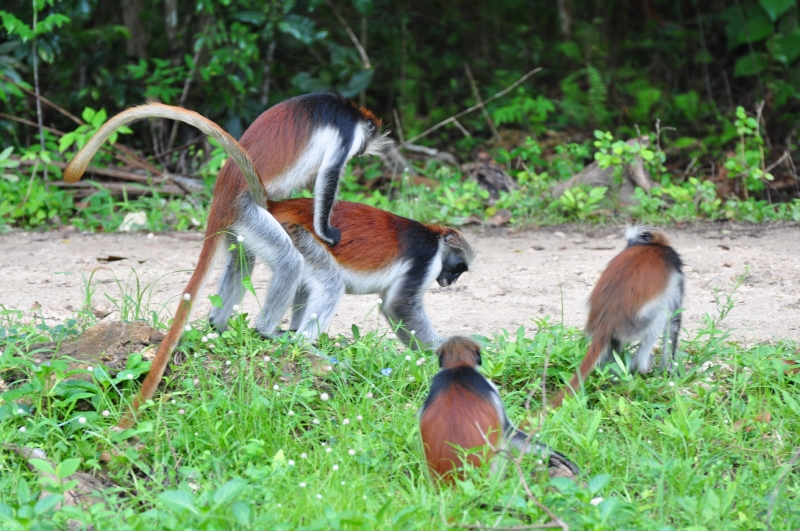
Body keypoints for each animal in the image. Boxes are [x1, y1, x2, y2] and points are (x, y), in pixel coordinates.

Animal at [62, 98, 389, 427]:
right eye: (363, 143)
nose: (365, 151)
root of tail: (223, 190)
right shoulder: (345, 134)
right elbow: (327, 178)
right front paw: (327, 233)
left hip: (240, 222)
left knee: (244, 260)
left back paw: (217, 327)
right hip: (246, 209)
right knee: (287, 261)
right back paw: (266, 330)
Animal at [550, 226, 684, 409]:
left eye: (628, 244)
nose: (625, 247)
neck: (655, 246)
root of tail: (604, 324)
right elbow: (673, 321)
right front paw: (669, 371)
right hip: (635, 324)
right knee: (660, 316)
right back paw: (640, 367)